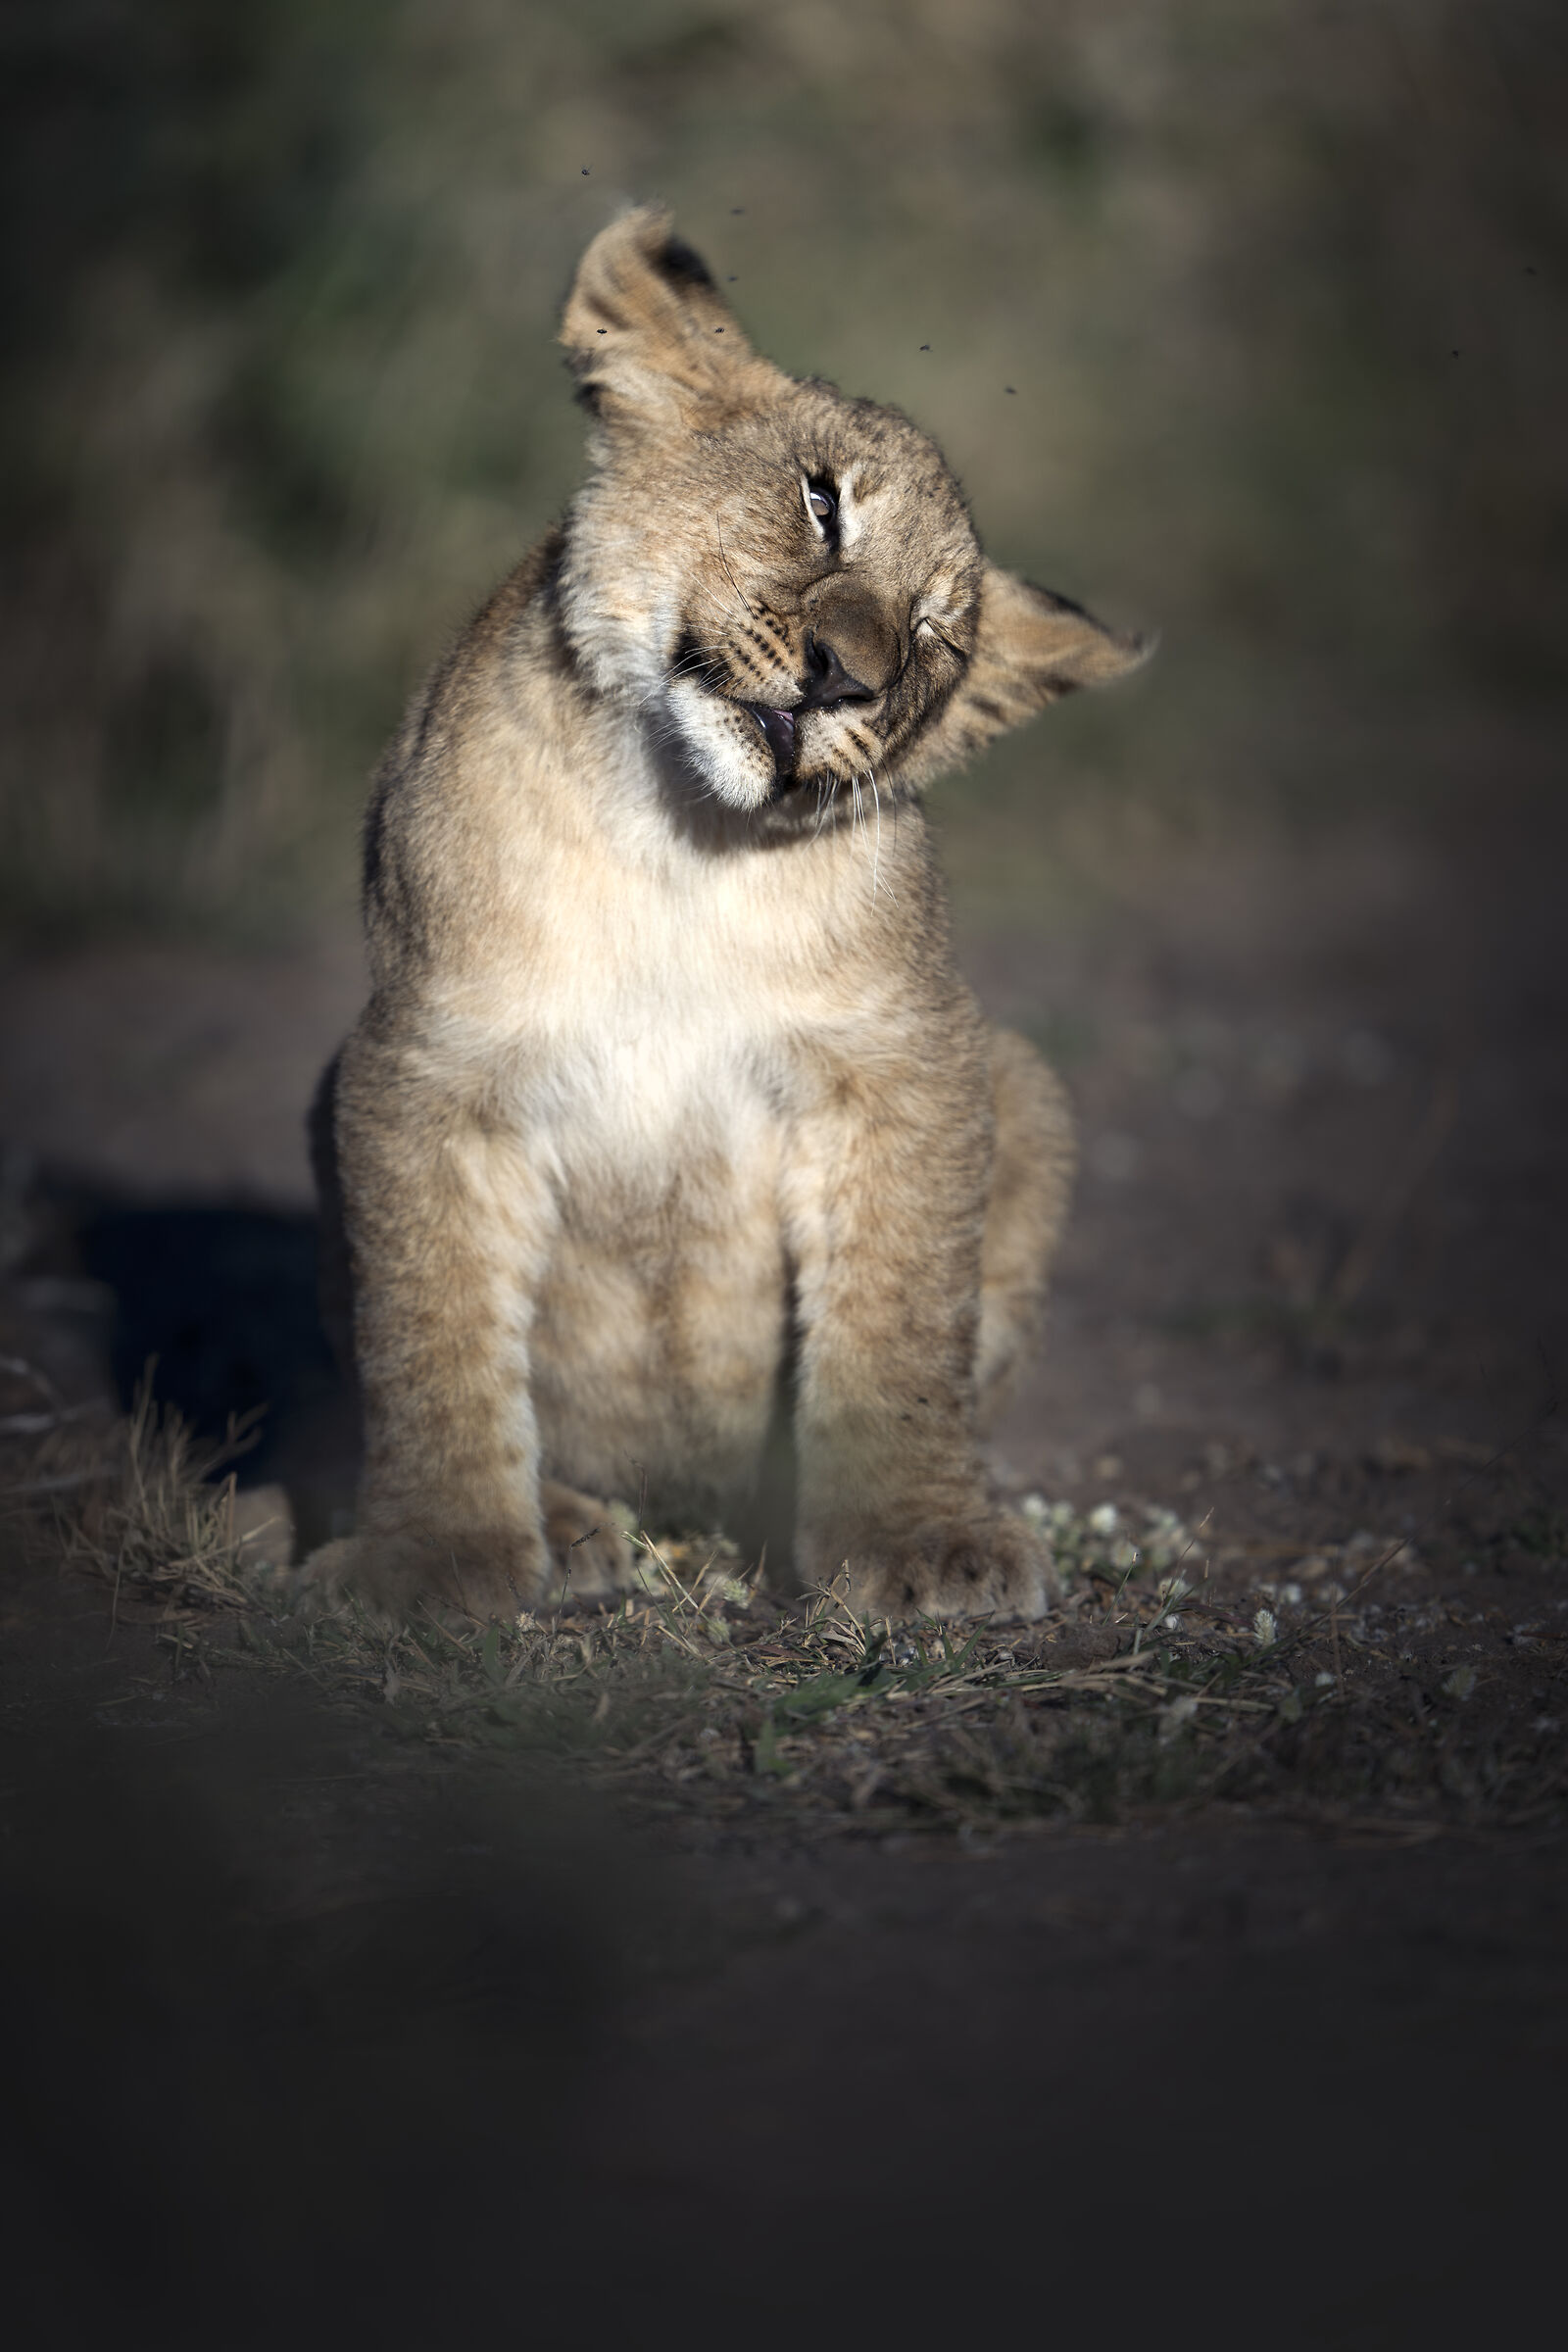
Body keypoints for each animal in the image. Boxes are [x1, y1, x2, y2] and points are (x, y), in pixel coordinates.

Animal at [309, 205, 1149, 1625]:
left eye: (933, 640)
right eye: (821, 502)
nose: (846, 678)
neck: (681, 843)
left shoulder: (907, 1061)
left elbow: (897, 1322)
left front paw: (922, 1539)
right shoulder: (425, 1068)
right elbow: (432, 1332)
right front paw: (438, 1556)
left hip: (1030, 1084)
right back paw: (573, 1526)